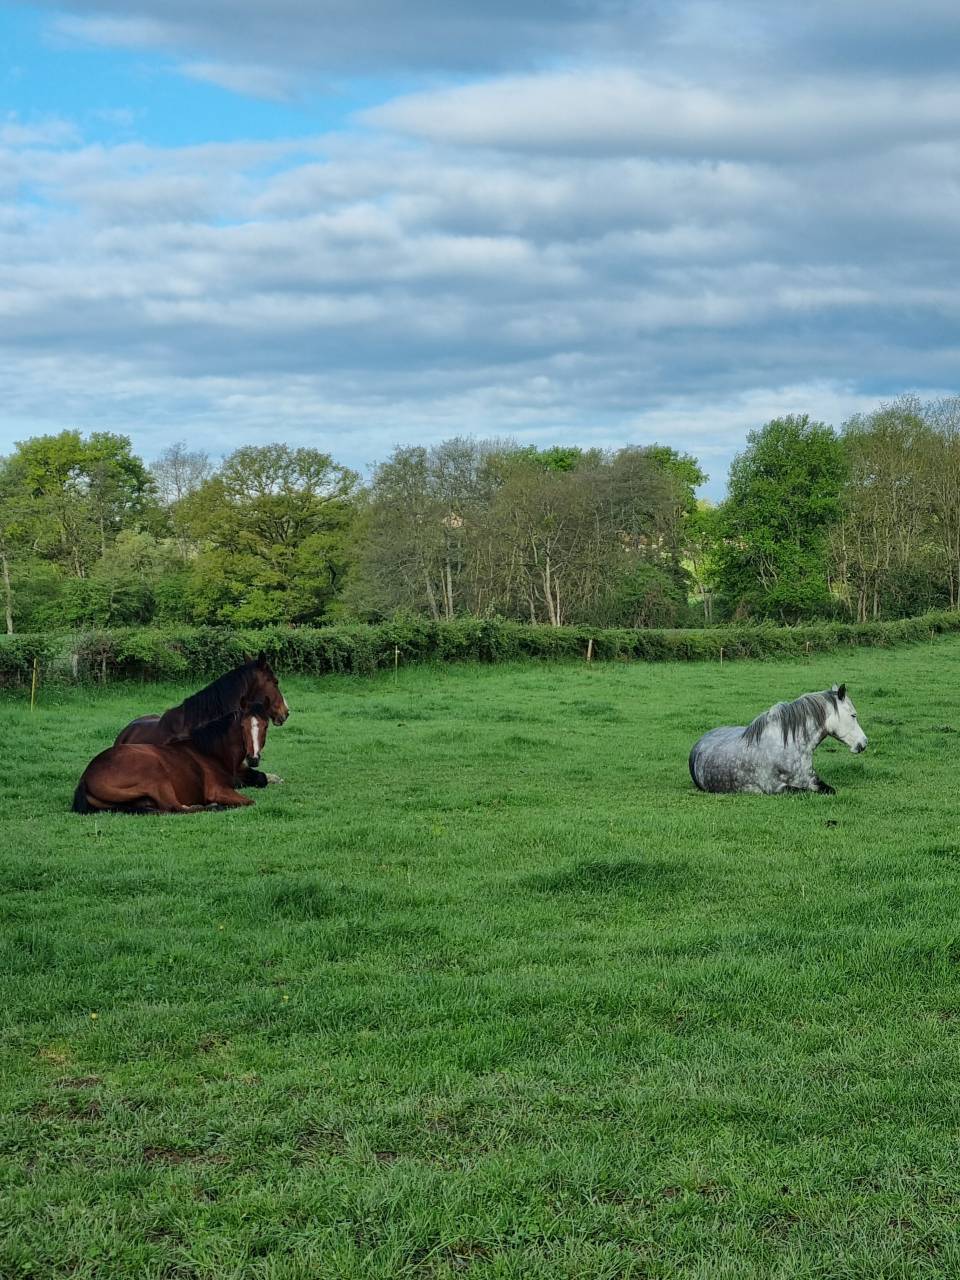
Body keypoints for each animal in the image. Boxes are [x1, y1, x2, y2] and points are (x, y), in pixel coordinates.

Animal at [73, 704, 272, 815]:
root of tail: (86, 777)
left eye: (265, 726)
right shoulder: (219, 790)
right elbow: (249, 802)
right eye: (242, 726)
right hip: (156, 775)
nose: (253, 758)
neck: (211, 752)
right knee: (176, 808)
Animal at [689, 684, 868, 795]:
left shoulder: (813, 781)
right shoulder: (777, 788)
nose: (864, 743)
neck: (789, 748)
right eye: (853, 715)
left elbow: (830, 790)